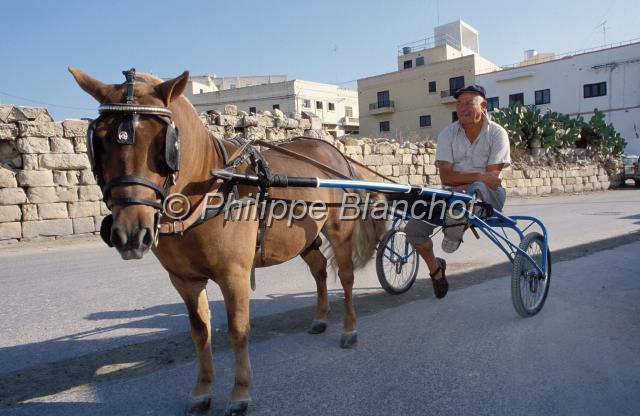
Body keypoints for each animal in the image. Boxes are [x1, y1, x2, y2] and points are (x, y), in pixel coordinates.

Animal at [69, 67, 386, 415]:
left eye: (162, 143)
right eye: (98, 141)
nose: (130, 233)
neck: (212, 187)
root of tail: (336, 155)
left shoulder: (233, 274)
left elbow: (237, 330)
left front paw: (240, 392)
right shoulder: (184, 280)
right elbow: (200, 332)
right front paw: (202, 390)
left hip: (339, 231)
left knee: (345, 277)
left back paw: (349, 328)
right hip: (304, 237)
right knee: (318, 270)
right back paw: (319, 318)